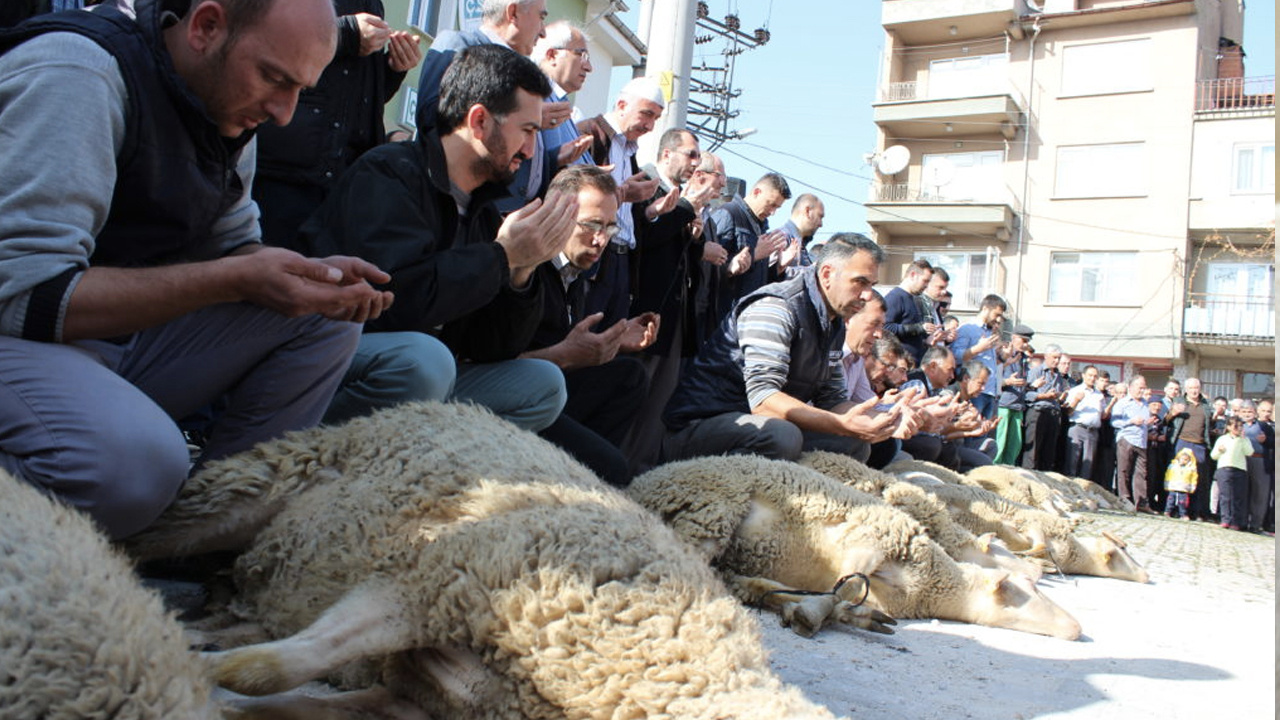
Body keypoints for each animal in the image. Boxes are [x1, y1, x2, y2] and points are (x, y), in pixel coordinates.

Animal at [177, 399, 839, 717]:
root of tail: (455, 405)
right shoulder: (438, 576)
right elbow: (270, 672)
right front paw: (209, 679)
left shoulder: (412, 701)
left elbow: (287, 700)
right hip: (250, 484)